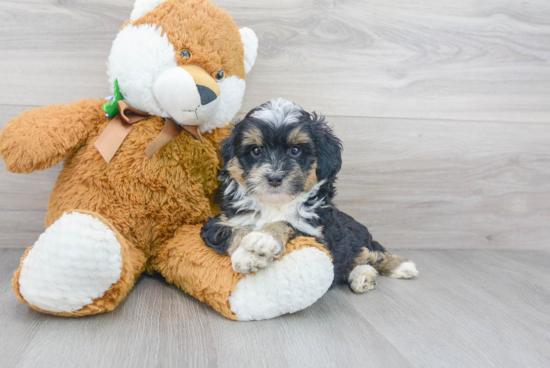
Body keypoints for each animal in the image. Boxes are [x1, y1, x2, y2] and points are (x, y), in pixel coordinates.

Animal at [203, 98, 418, 294]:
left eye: (295, 150)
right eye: (256, 150)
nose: (274, 178)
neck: (276, 203)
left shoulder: (319, 235)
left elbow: (289, 223)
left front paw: (265, 237)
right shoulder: (217, 223)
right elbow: (236, 230)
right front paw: (246, 255)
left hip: (356, 234)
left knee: (371, 252)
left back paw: (400, 266)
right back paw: (363, 276)